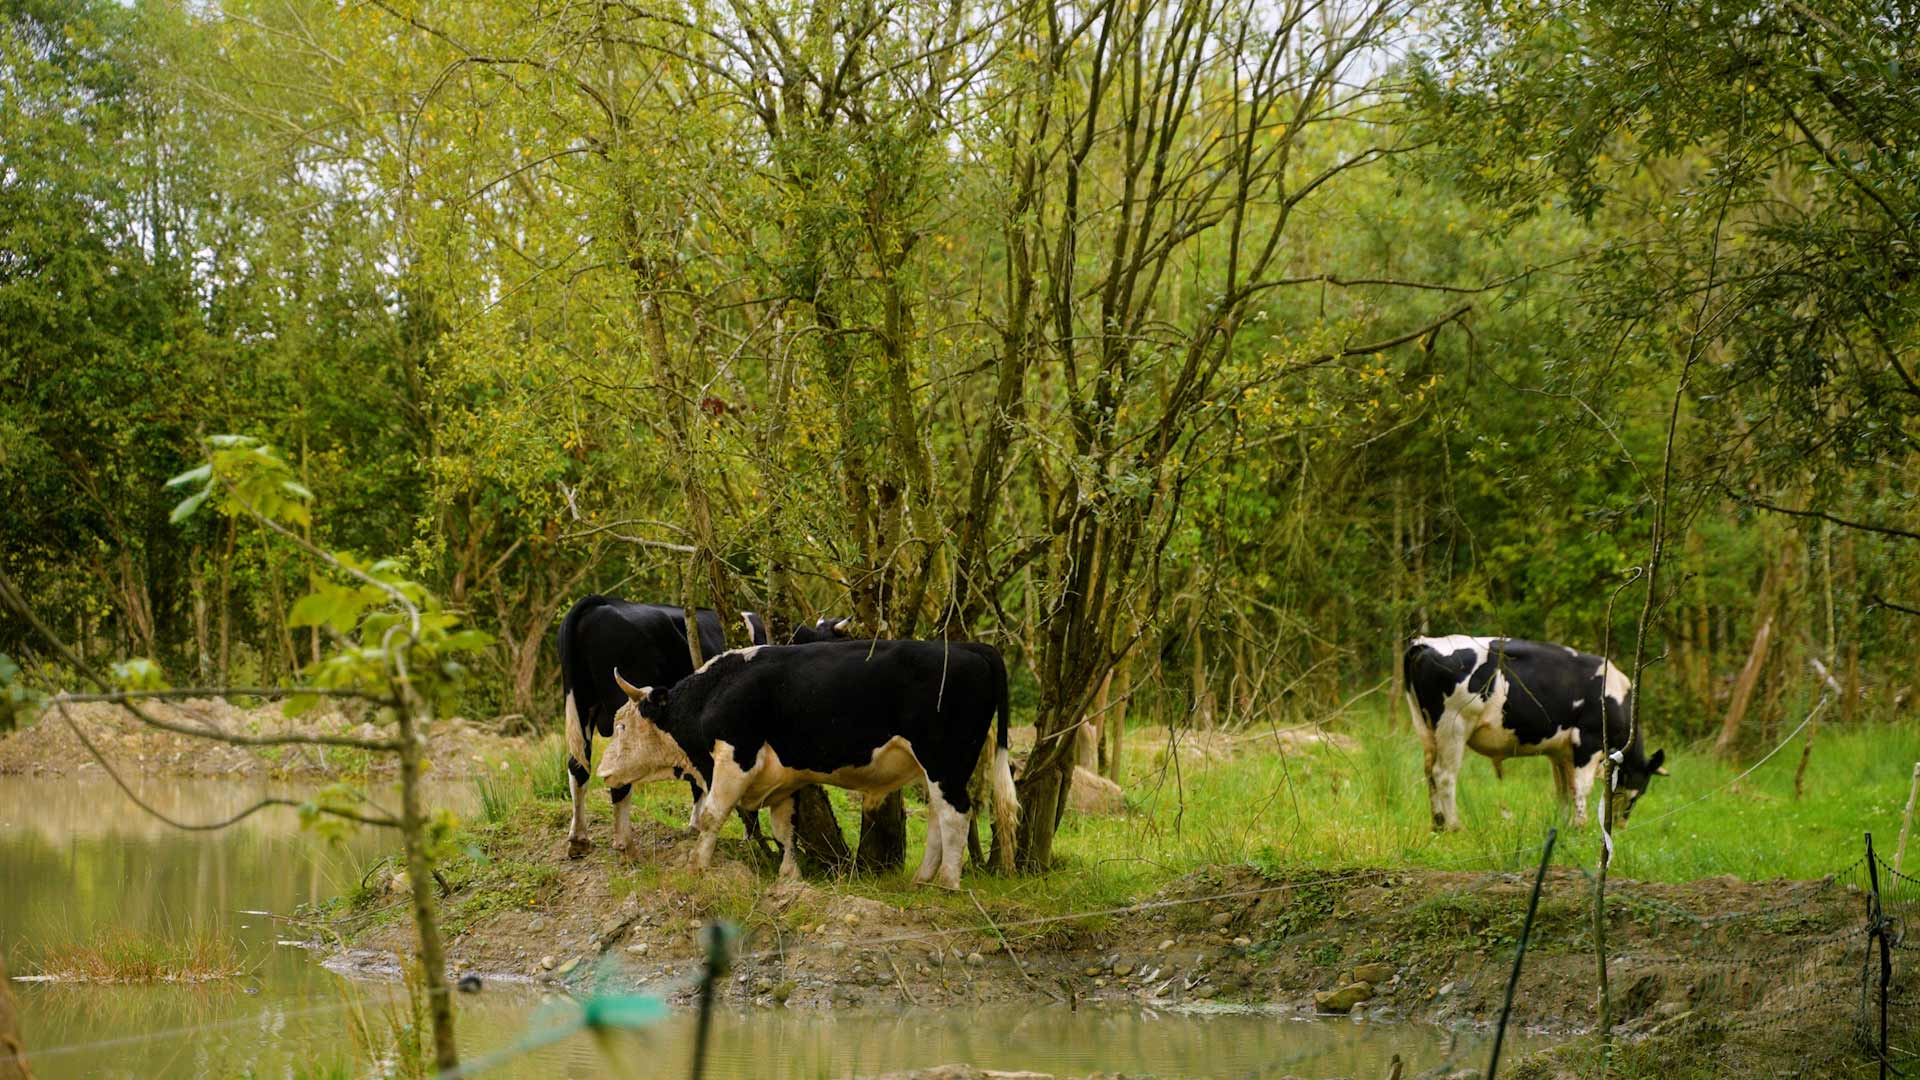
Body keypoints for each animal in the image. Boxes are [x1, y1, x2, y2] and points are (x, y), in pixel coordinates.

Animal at [597, 639, 1019, 889]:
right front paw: (789, 876)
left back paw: (948, 882)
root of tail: (969, 647)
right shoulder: (781, 781)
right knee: (938, 815)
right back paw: (922, 878)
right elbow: (784, 829)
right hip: (937, 768)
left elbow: (712, 816)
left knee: (956, 814)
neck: (715, 692)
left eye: (621, 725)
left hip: (944, 759)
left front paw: (697, 866)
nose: (603, 772)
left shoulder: (735, 759)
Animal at [1403, 635, 1667, 831]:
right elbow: (1582, 788)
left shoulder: (1561, 753)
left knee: (1429, 772)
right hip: (1454, 727)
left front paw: (1564, 826)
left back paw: (1438, 824)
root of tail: (1424, 643)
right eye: (1638, 792)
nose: (1621, 826)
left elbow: (1565, 790)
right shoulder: (1588, 743)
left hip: (1426, 728)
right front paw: (1580, 826)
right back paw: (1454, 826)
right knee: (1444, 775)